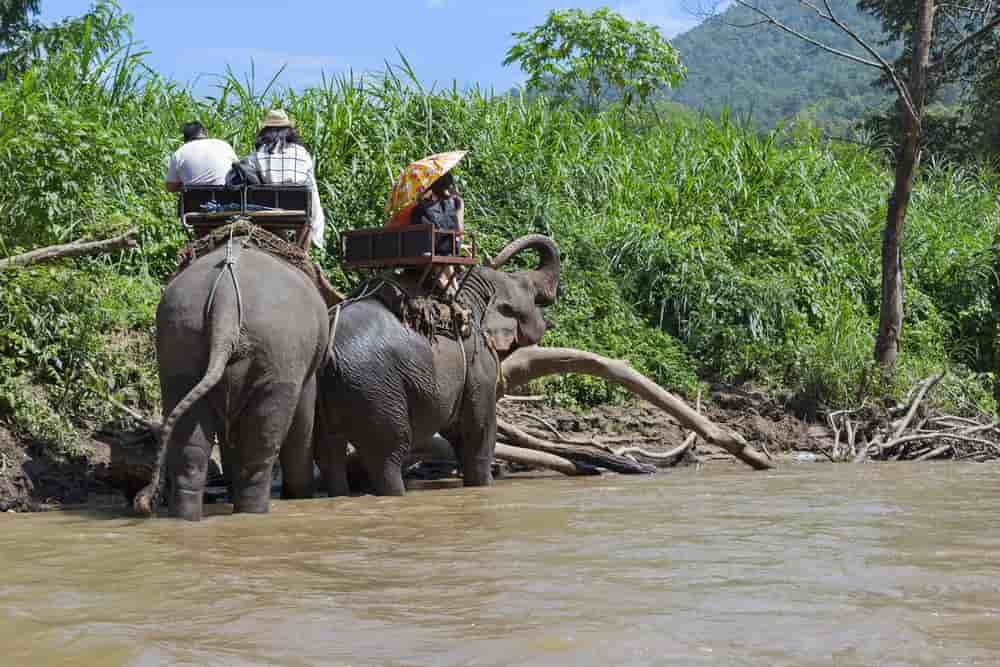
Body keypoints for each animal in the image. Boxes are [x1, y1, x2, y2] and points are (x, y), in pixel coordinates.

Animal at [134, 243, 329, 521]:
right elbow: (303, 415)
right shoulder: (306, 365)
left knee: (189, 446)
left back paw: (185, 518)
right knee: (263, 441)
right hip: (278, 353)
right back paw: (253, 514)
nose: (145, 503)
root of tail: (225, 301)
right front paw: (300, 496)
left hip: (179, 341)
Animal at [314, 234, 560, 497]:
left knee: (328, 453)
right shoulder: (477, 366)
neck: (471, 297)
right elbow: (478, 431)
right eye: (531, 292)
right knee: (388, 454)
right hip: (374, 389)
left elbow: (457, 432)